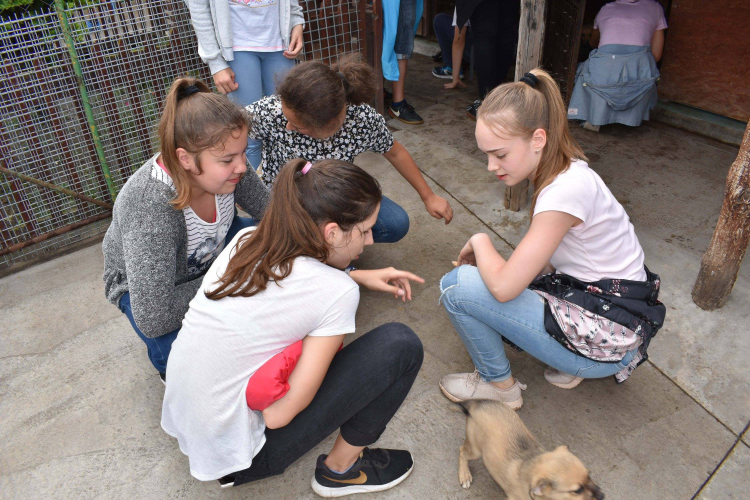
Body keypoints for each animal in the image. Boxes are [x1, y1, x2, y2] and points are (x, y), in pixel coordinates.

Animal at [458, 398, 604, 500]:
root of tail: (477, 404)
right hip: (476, 450)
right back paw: (465, 475)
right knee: (462, 451)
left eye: (589, 475)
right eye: (578, 490)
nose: (602, 496)